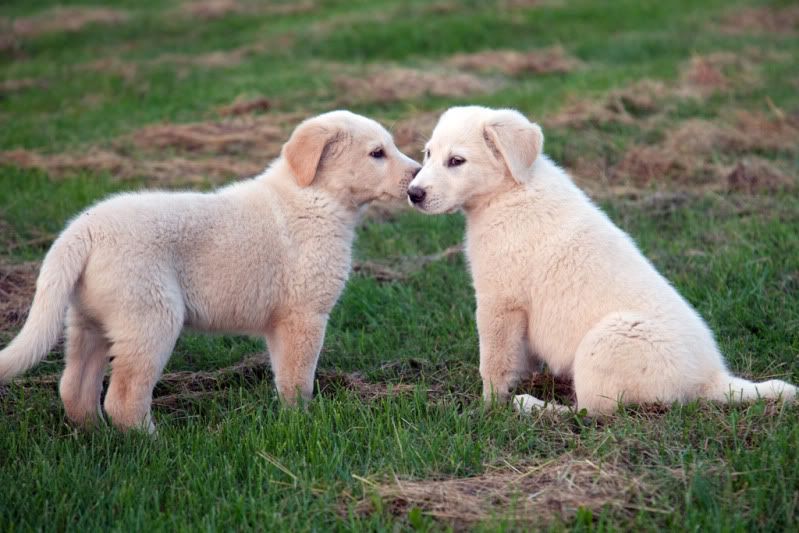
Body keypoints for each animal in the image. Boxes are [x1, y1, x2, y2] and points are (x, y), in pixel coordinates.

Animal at [0, 110, 424, 430]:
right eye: (377, 153)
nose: (418, 175)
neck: (314, 196)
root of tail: (82, 231)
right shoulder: (304, 316)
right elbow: (298, 377)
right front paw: (302, 419)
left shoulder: (281, 323)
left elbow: (283, 374)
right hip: (151, 318)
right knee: (123, 397)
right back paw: (151, 442)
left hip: (89, 322)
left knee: (75, 388)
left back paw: (95, 435)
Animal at [410, 105, 796, 416]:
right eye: (428, 154)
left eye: (456, 161)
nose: (413, 193)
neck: (510, 190)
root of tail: (711, 380)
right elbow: (517, 356)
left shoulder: (498, 302)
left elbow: (492, 362)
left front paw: (488, 407)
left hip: (605, 342)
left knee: (591, 412)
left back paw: (533, 406)